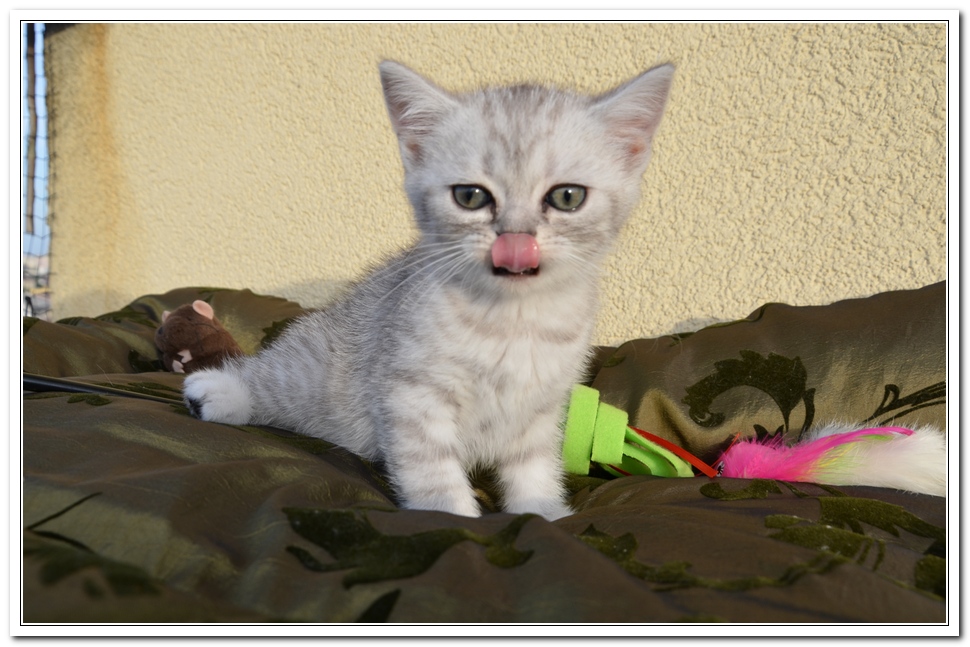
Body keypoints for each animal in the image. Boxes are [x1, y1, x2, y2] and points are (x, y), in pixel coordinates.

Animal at [182, 60, 674, 520]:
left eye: (567, 197)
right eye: (470, 197)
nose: (516, 243)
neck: (512, 321)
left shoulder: (541, 408)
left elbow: (534, 465)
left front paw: (544, 511)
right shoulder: (411, 393)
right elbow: (431, 467)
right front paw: (451, 516)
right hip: (318, 376)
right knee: (269, 377)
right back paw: (216, 392)